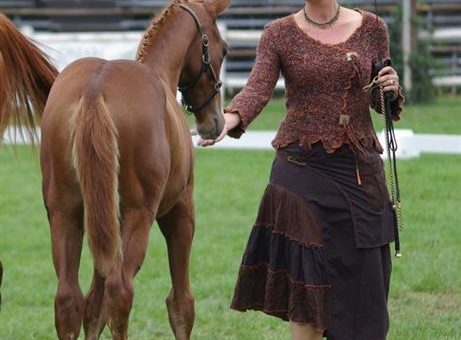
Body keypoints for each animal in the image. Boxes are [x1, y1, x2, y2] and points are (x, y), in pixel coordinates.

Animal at [39, 0, 228, 338]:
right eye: (224, 49)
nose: (215, 121)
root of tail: (94, 90)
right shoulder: (180, 210)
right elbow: (181, 303)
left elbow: (94, 306)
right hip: (139, 213)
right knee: (121, 289)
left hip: (66, 212)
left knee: (69, 298)